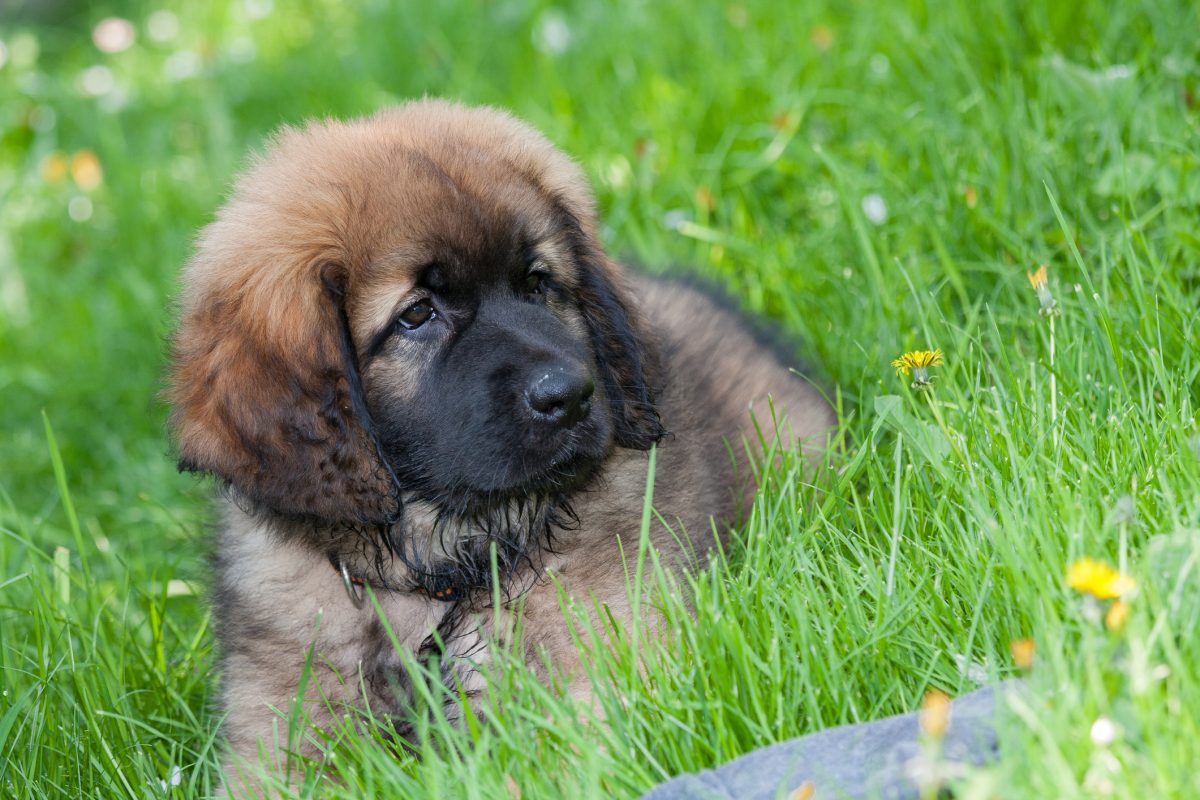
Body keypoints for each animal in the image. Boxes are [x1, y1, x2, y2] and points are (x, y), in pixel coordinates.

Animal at [166, 98, 835, 786]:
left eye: (537, 283)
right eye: (416, 314)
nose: (570, 394)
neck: (442, 571)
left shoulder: (604, 667)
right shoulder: (277, 736)